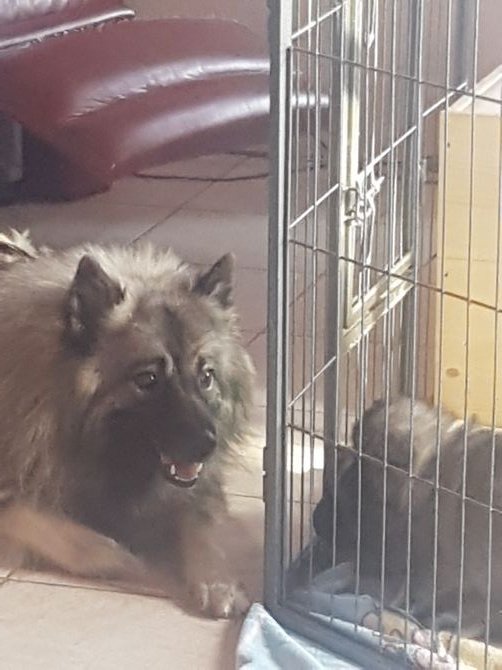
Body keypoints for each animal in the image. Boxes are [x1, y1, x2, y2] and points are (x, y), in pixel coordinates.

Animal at [0, 229, 255, 618]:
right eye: (148, 379)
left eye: (206, 376)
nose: (207, 445)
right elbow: (75, 538)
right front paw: (129, 560)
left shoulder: (193, 489)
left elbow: (201, 525)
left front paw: (217, 582)